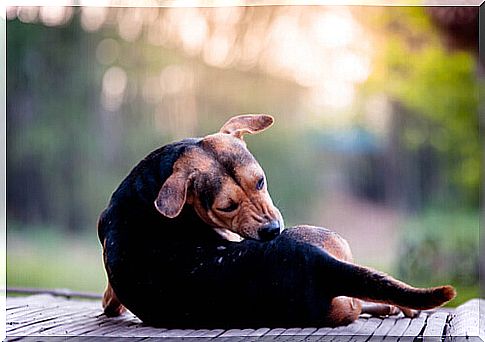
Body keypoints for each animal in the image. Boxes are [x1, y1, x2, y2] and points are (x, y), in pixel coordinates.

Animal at [98, 115, 454, 328]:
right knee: (371, 295)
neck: (150, 182)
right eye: (227, 206)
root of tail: (320, 266)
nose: (272, 230)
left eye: (260, 181)